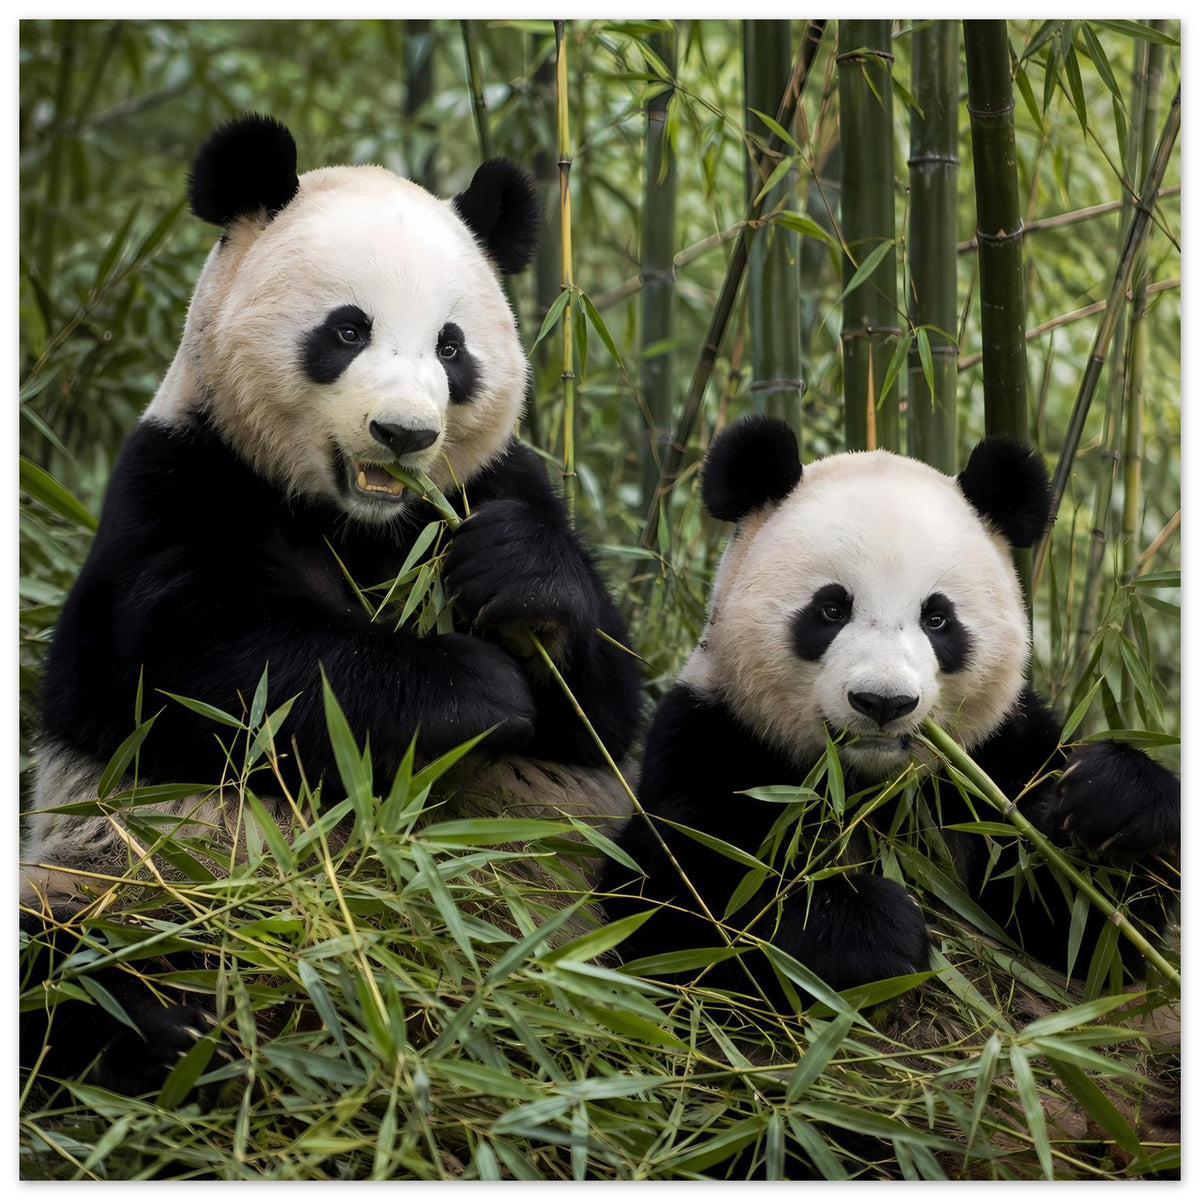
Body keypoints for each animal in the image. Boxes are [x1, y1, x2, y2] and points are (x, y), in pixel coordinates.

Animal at [21, 114, 640, 1094]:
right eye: (347, 330)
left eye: (452, 347)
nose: (404, 433)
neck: (359, 523)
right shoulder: (178, 486)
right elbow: (214, 675)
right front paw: (474, 688)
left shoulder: (492, 485)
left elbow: (603, 711)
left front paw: (519, 585)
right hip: (132, 873)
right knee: (70, 954)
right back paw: (177, 1032)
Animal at [601, 415, 1179, 1010]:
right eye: (831, 609)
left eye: (938, 618)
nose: (884, 701)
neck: (869, 789)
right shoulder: (714, 734)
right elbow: (683, 891)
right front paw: (867, 929)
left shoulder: (996, 758)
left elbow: (1085, 930)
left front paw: (1113, 802)